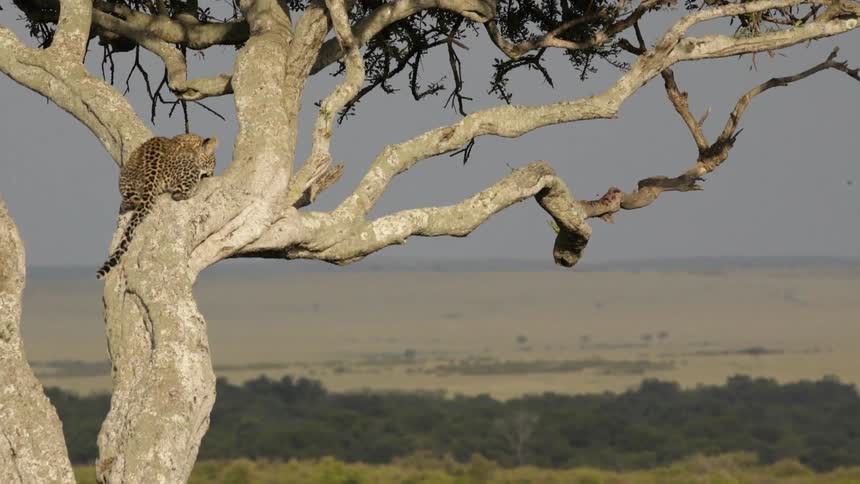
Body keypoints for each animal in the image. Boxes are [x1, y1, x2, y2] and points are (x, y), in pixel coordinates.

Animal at [96, 134, 218, 279]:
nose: (212, 174)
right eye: (213, 164)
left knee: (130, 202)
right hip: (189, 170)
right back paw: (195, 192)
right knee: (178, 194)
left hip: (126, 184)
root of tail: (151, 169)